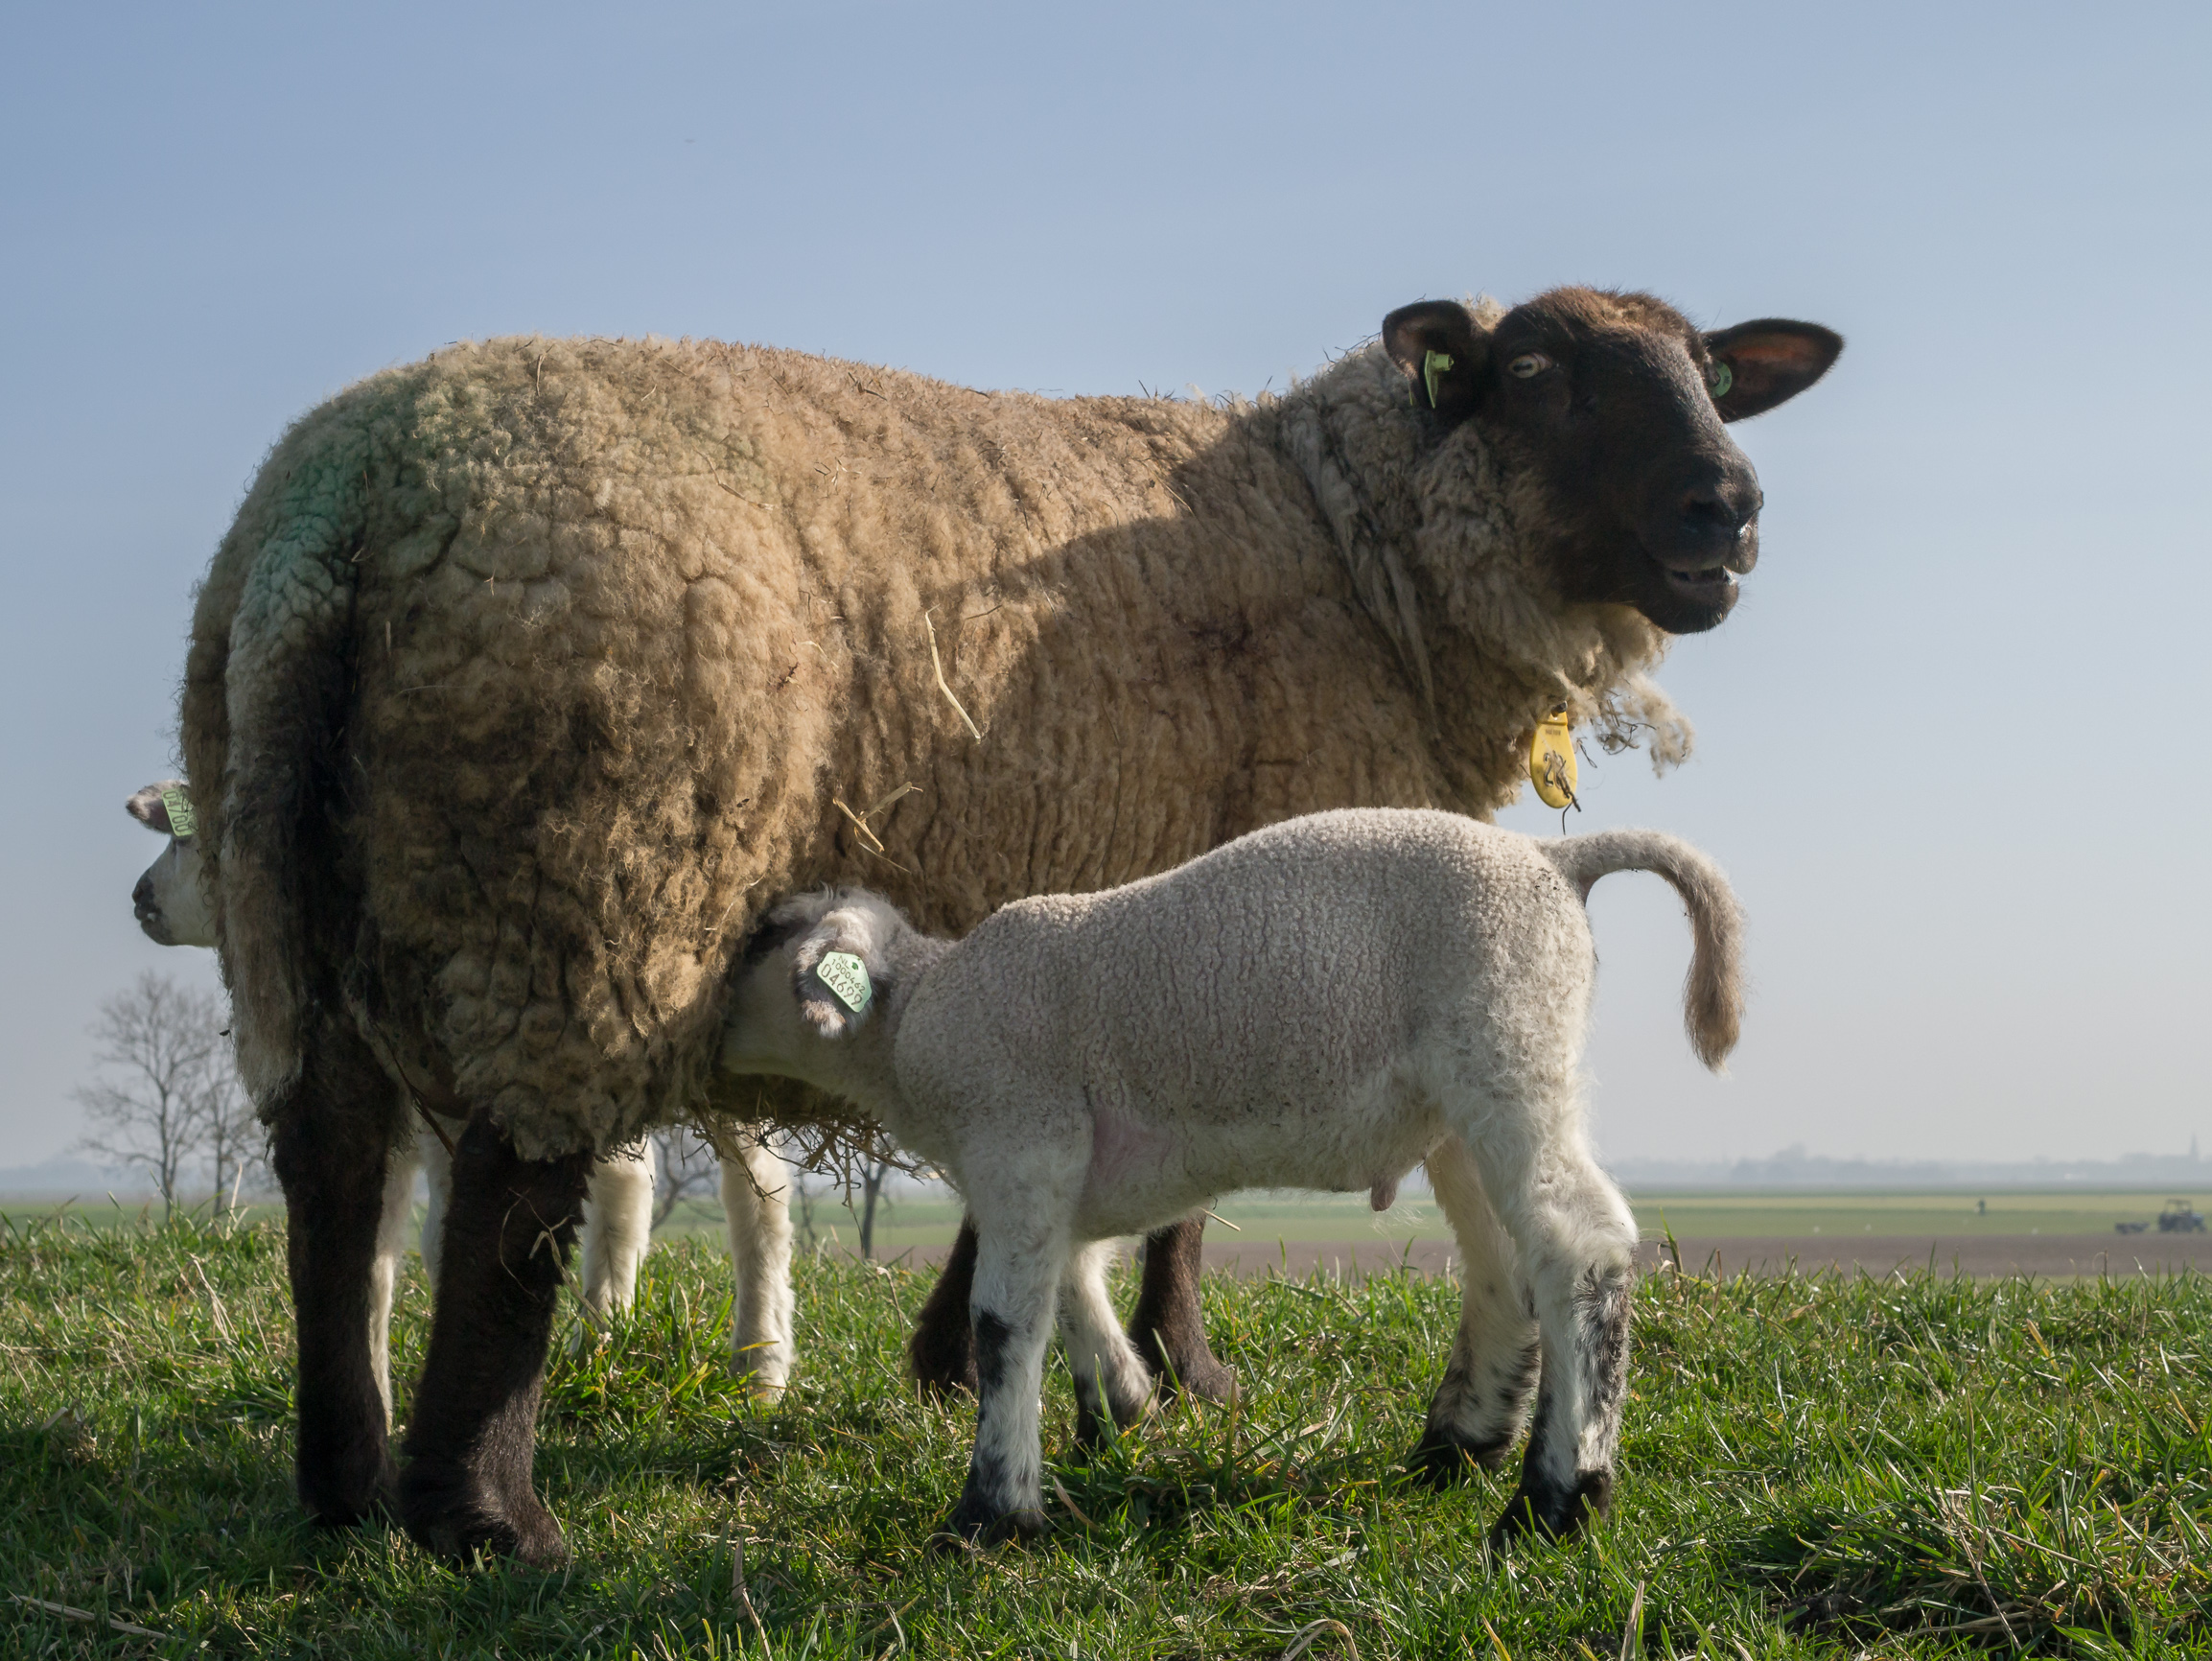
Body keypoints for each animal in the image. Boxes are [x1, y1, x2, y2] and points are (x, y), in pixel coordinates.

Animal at [718, 808, 1743, 1546]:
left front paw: (991, 1514)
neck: (915, 1021)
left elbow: (1006, 1323)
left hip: (1509, 1046)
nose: (702, 1030)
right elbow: (1075, 1285)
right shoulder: (1060, 1176)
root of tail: (1554, 859)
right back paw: (1455, 1450)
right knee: (1504, 1266)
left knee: (1579, 1245)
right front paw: (1118, 1417)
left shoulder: (1022, 1138)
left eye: (763, 933)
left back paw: (1555, 1505)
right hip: (1462, 1100)